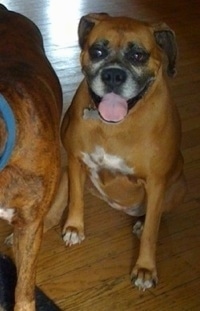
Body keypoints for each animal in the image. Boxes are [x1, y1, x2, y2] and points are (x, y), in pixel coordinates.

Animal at [60, 13, 186, 292]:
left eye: (138, 55)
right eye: (97, 51)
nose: (113, 75)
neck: (115, 127)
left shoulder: (156, 183)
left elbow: (151, 231)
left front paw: (145, 269)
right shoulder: (75, 161)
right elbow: (75, 198)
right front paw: (74, 226)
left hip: (176, 189)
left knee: (156, 215)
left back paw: (140, 222)